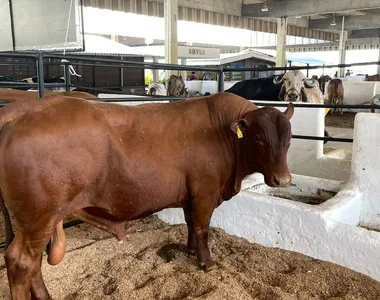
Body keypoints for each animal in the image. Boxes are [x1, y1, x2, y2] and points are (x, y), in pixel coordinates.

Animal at [0, 92, 294, 298]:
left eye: (289, 138)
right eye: (258, 137)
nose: (283, 179)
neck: (222, 132)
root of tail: (22, 109)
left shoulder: (190, 195)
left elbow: (190, 223)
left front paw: (189, 250)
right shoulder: (205, 192)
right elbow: (202, 227)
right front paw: (206, 262)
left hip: (38, 221)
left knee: (34, 264)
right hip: (38, 217)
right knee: (21, 263)